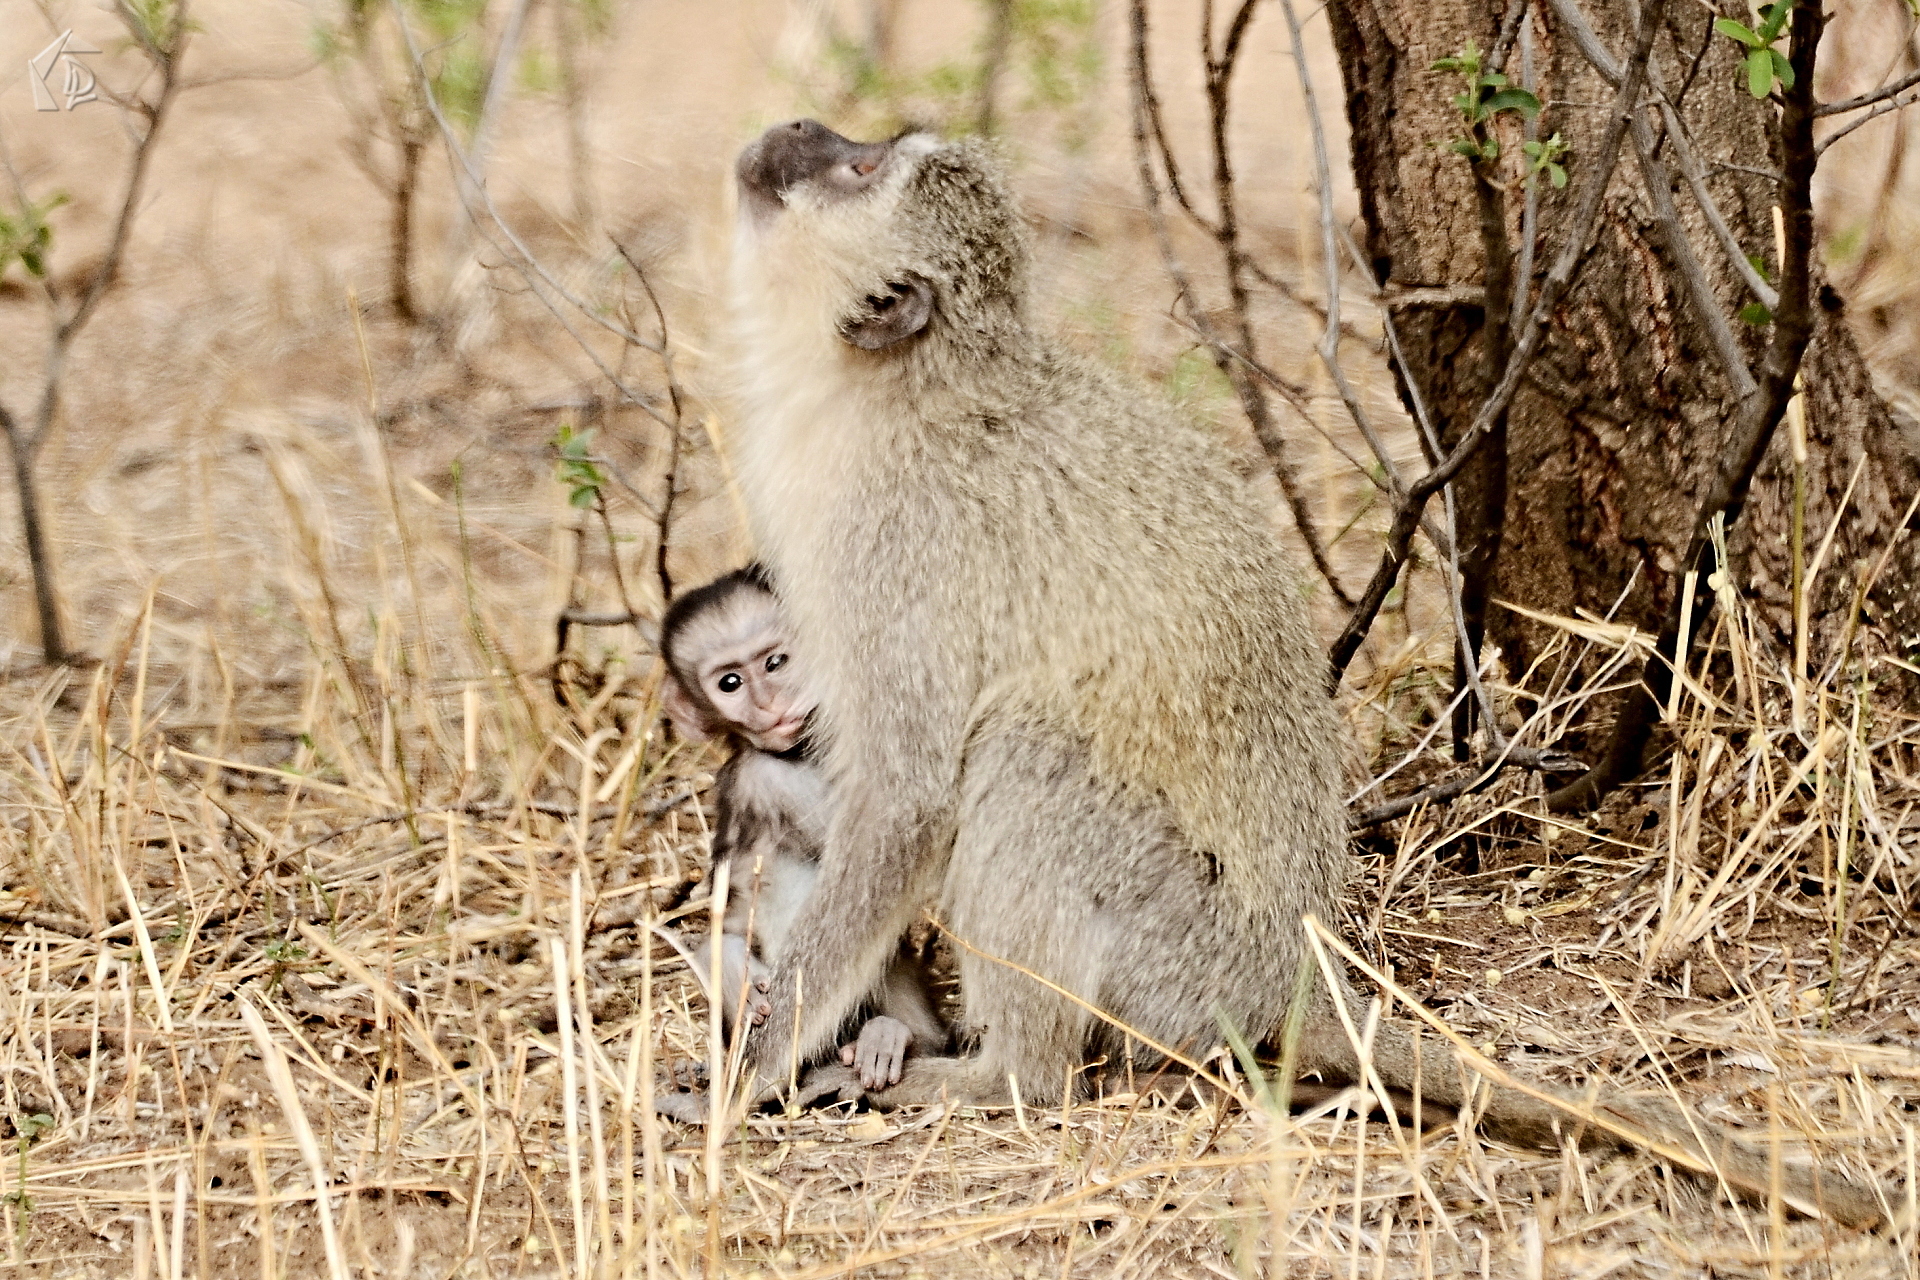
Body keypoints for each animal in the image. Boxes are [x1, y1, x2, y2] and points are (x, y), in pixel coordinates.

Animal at [706, 119, 1886, 1228]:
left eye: (861, 171)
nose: (802, 129)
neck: (903, 391)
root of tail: (1292, 970)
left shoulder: (898, 543)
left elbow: (907, 797)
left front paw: (749, 1070)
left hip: (1180, 952)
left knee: (1027, 754)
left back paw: (1007, 1077)